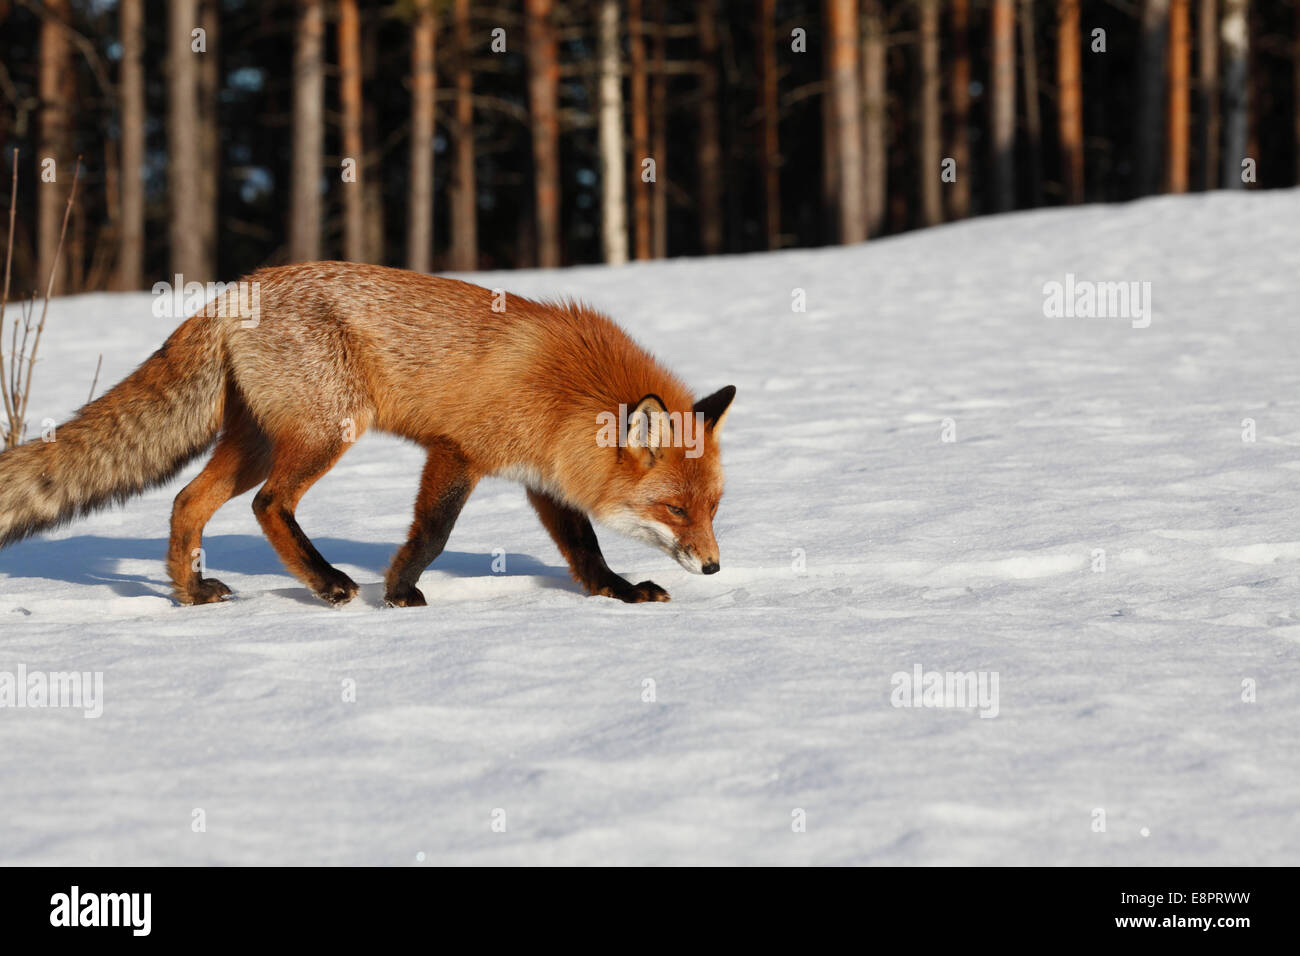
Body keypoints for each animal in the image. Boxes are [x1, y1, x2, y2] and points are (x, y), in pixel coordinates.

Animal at [0, 261, 733, 606]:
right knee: (270, 505)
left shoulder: (543, 480)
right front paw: (401, 592)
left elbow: (585, 551)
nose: (714, 565)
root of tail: (236, 290)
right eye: (675, 509)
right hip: (325, 433)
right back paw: (327, 583)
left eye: (713, 508)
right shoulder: (457, 452)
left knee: (187, 502)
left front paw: (617, 594)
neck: (567, 391)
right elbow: (432, 534)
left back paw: (190, 594)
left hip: (255, 444)